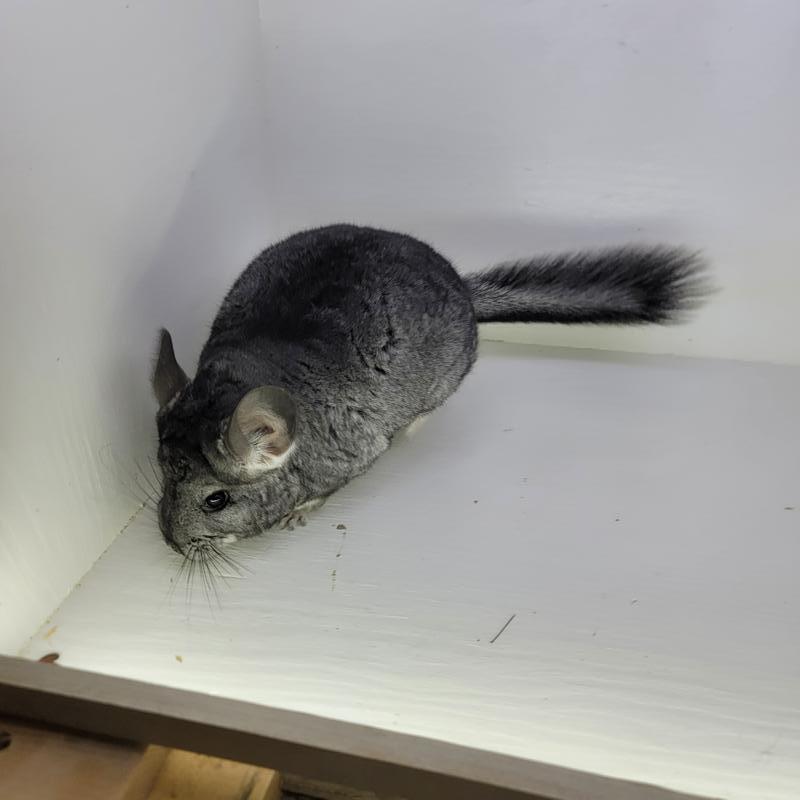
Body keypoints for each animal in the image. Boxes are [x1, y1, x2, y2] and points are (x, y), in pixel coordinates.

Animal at [152, 224, 708, 554]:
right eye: (159, 475)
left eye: (216, 500)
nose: (173, 546)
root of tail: (462, 285)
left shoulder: (354, 458)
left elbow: (326, 491)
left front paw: (296, 515)